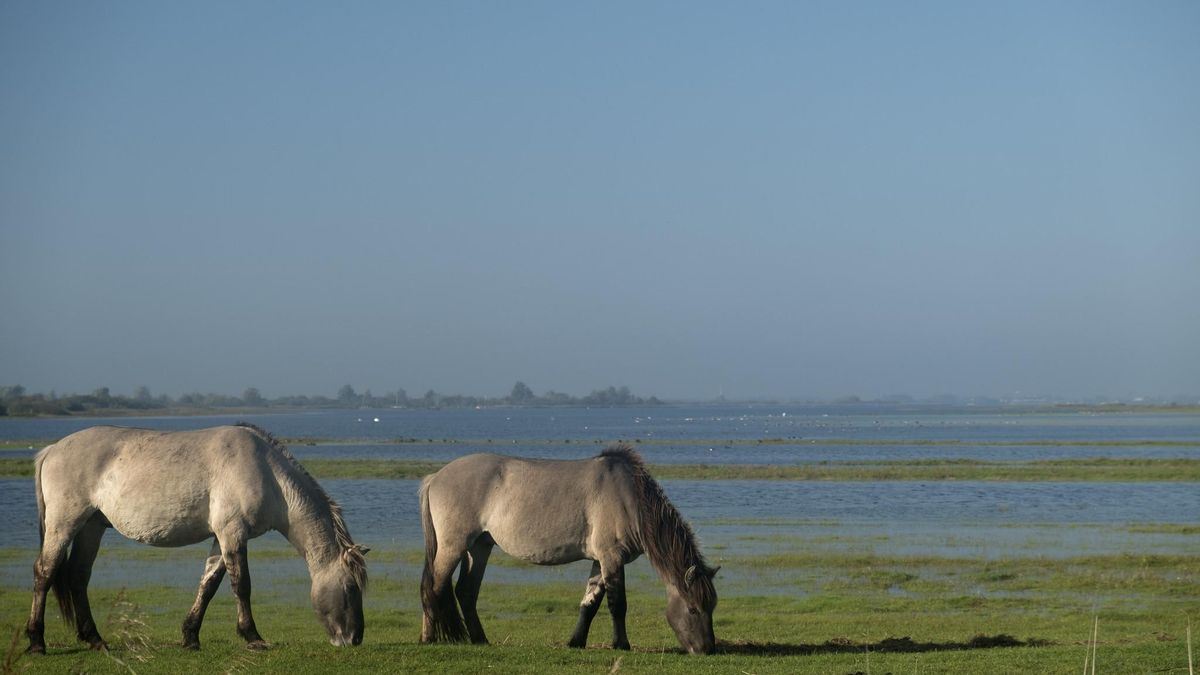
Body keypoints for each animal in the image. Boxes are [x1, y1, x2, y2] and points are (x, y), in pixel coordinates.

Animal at [25, 423, 368, 654]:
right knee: (45, 573)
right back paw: (37, 641)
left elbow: (209, 585)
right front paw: (253, 637)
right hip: (64, 524)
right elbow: (241, 585)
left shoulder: (222, 537)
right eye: (350, 588)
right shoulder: (233, 533)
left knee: (78, 577)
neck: (267, 473)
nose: (354, 639)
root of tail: (51, 450)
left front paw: (190, 637)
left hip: (91, 527)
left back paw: (95, 640)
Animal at [418, 444, 719, 654]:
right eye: (693, 609)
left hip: (479, 547)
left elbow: (589, 604)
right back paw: (428, 638)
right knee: (434, 586)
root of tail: (436, 477)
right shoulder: (611, 558)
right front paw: (621, 644)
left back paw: (480, 640)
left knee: (466, 592)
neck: (630, 498)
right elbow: (617, 604)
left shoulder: (600, 560)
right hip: (453, 546)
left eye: (711, 606)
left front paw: (576, 642)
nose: (707, 649)